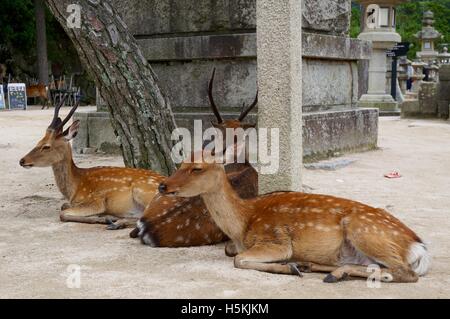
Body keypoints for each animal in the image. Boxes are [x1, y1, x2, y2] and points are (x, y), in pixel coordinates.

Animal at [18, 97, 165, 230]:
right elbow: (63, 206)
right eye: (39, 141)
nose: (22, 160)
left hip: (143, 191)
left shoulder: (96, 200)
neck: (74, 187)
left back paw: (115, 222)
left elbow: (62, 213)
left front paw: (102, 218)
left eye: (46, 146)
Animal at [160, 142, 430, 282]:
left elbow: (239, 259)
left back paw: (328, 273)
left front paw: (288, 268)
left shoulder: (276, 239)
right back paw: (314, 266)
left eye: (197, 168)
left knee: (405, 273)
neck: (242, 223)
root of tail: (418, 246)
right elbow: (231, 252)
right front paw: (293, 266)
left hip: (365, 231)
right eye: (180, 163)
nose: (163, 185)